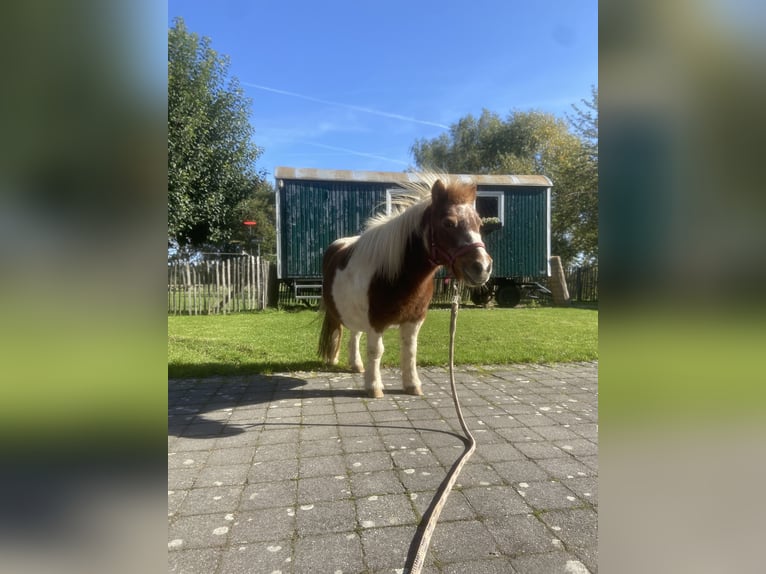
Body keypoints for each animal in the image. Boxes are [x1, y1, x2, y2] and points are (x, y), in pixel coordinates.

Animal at [320, 174, 496, 400]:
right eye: (448, 223)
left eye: (479, 224)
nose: (482, 267)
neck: (397, 275)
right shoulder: (376, 322)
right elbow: (376, 351)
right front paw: (374, 387)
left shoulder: (414, 320)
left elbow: (410, 351)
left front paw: (412, 385)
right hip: (338, 312)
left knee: (355, 335)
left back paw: (357, 365)